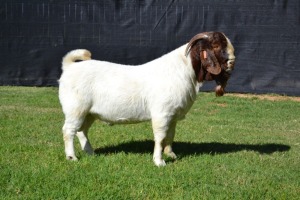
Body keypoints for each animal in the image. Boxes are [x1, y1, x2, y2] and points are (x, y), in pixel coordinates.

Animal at [58, 30, 236, 166]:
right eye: (216, 45)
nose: (232, 62)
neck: (182, 70)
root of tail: (69, 67)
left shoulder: (172, 116)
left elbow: (170, 136)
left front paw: (171, 155)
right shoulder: (161, 114)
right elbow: (160, 137)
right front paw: (159, 161)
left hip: (89, 113)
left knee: (81, 131)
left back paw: (90, 152)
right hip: (76, 109)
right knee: (68, 130)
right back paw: (72, 157)